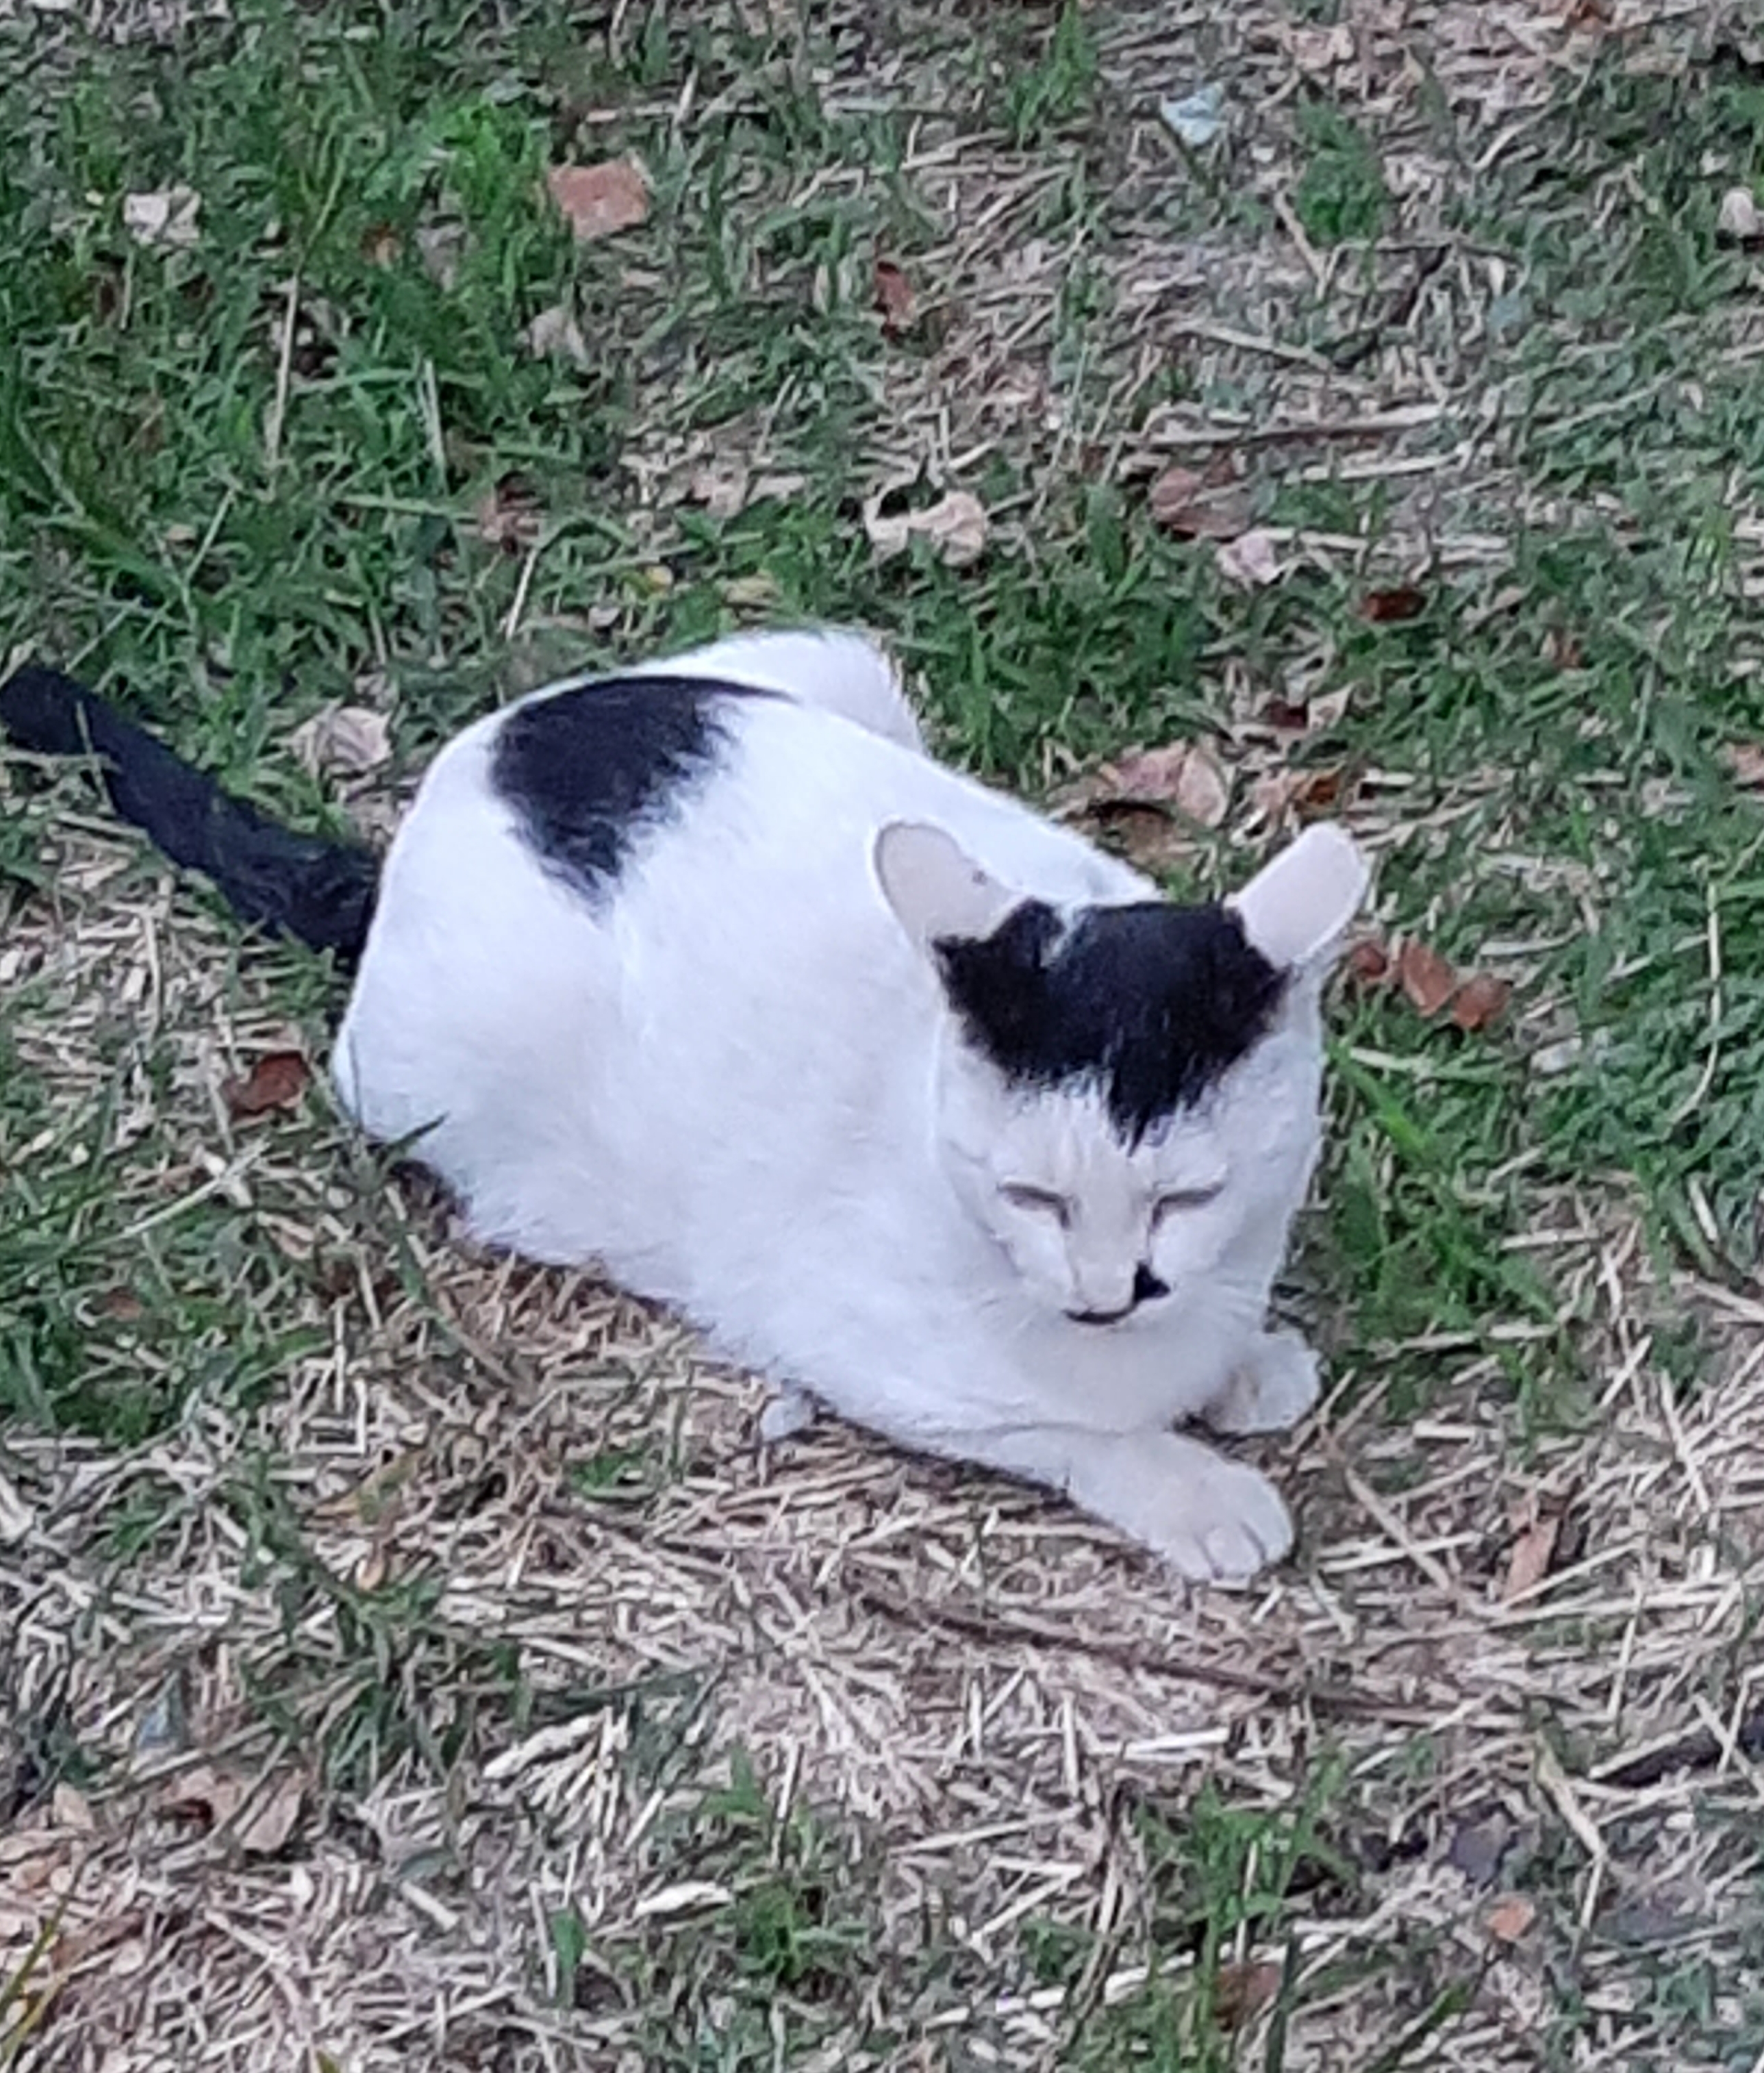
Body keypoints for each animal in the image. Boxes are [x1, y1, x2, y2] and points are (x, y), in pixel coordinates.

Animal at [0, 628, 1368, 1584]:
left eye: (1187, 1194)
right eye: (1031, 1194)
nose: (1104, 1292)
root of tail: (409, 842)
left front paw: (1246, 1363)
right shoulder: (869, 1351)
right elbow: (1072, 1431)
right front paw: (1195, 1482)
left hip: (830, 661)